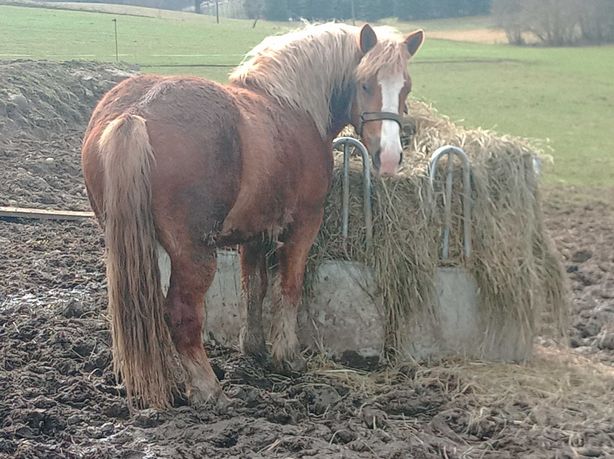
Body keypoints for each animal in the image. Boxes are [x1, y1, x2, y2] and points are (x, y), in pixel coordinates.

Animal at [82, 23, 426, 410]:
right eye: (365, 83)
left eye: (406, 86)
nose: (389, 157)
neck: (292, 106)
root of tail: (134, 115)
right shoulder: (303, 224)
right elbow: (289, 287)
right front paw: (287, 355)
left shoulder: (255, 232)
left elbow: (254, 287)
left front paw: (254, 346)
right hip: (194, 254)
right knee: (181, 314)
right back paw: (208, 388)